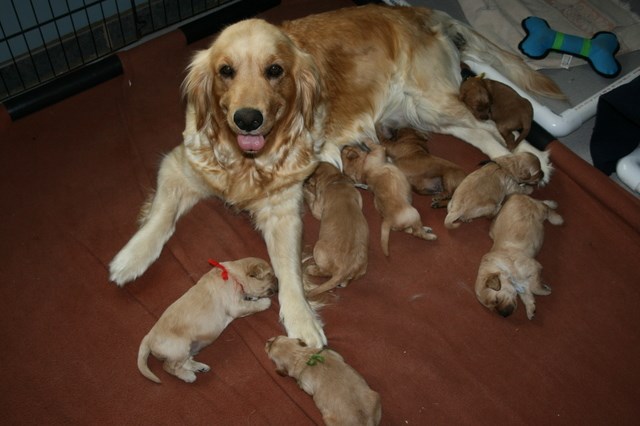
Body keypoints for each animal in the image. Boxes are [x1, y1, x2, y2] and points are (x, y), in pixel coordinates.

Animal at [138, 258, 278, 384]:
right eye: (270, 275)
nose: (278, 281)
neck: (233, 275)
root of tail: (149, 337)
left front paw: (252, 297)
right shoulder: (236, 306)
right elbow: (253, 306)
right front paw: (265, 302)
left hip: (185, 350)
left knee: (184, 362)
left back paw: (199, 367)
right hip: (179, 348)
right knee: (168, 366)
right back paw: (188, 376)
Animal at [304, 161, 370, 298]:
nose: (304, 181)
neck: (336, 181)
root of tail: (343, 271)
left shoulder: (318, 209)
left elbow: (312, 201)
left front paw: (305, 192)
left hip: (318, 249)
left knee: (325, 272)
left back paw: (312, 269)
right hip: (361, 271)